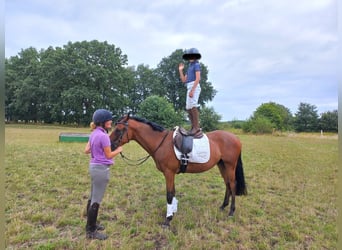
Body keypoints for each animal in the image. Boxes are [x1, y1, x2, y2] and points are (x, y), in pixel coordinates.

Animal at [111, 114, 247, 228]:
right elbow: (173, 192)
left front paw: (168, 220)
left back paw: (231, 211)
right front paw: (172, 212)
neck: (161, 143)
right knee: (227, 184)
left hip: (230, 165)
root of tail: (236, 138)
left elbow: (169, 195)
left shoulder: (169, 173)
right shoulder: (171, 174)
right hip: (222, 164)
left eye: (118, 129)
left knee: (232, 184)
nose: (110, 145)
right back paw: (223, 206)